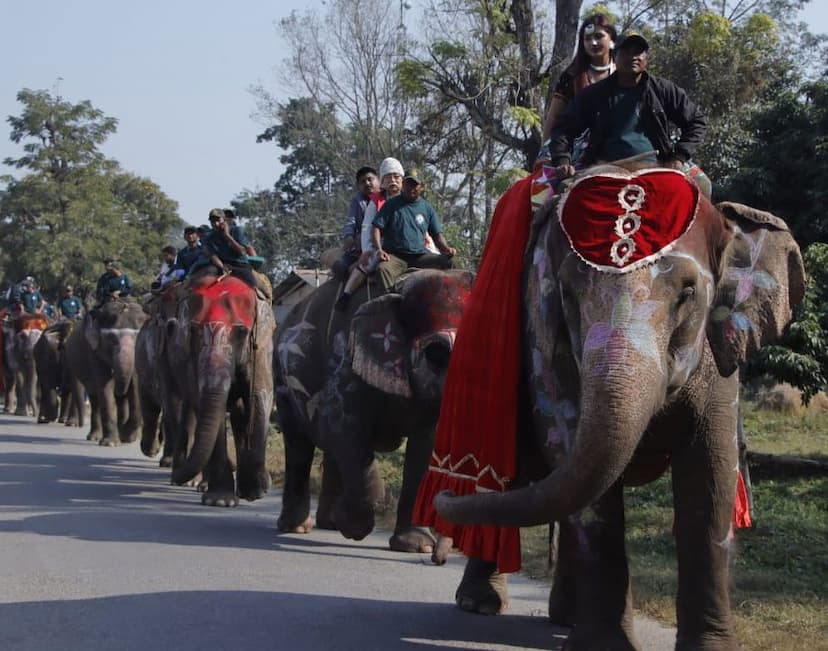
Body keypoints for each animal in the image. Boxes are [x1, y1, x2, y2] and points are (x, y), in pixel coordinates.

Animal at [64, 299, 147, 446]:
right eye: (112, 341)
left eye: (138, 340)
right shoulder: (94, 350)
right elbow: (105, 386)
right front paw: (111, 443)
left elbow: (136, 387)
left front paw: (126, 437)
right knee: (95, 399)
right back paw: (95, 437)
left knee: (119, 400)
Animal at [166, 271, 276, 507]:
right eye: (193, 332)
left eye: (242, 332)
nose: (175, 476)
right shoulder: (189, 359)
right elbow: (204, 402)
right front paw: (221, 501)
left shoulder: (262, 349)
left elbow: (259, 397)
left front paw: (255, 491)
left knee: (240, 409)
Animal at [274, 268, 474, 553]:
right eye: (437, 353)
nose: (440, 557)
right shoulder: (348, 354)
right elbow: (339, 422)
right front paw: (354, 528)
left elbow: (427, 444)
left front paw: (416, 546)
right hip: (282, 375)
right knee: (298, 441)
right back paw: (300, 527)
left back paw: (329, 523)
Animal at [431, 167, 805, 651]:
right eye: (567, 295)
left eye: (688, 293)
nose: (441, 498)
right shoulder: (545, 342)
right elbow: (580, 464)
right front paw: (604, 645)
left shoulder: (720, 366)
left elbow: (711, 478)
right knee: (521, 479)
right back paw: (482, 604)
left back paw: (564, 615)